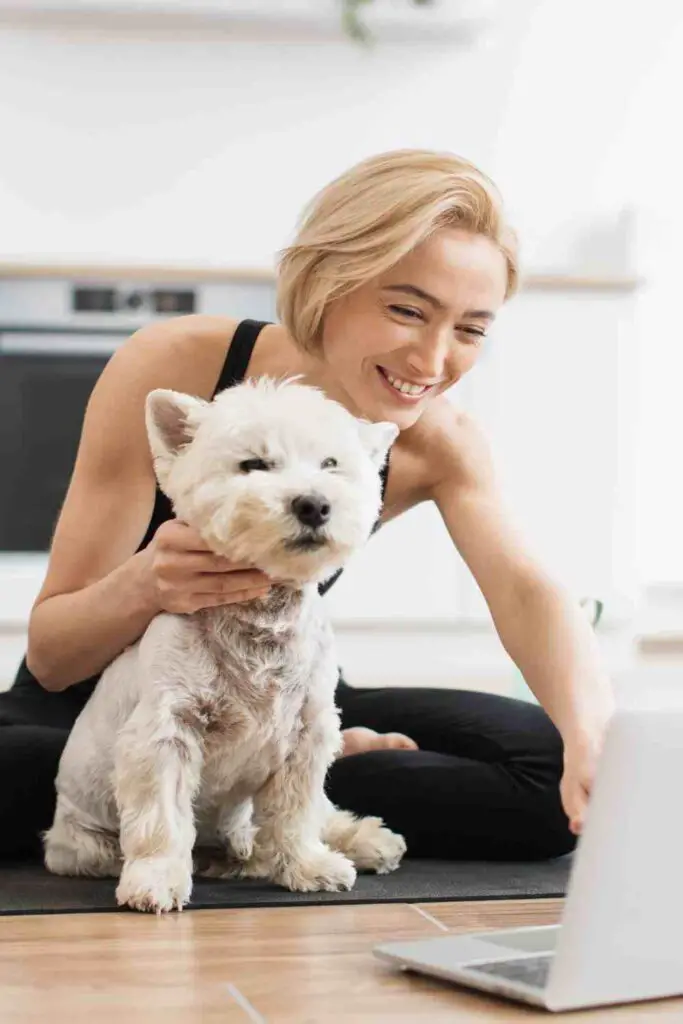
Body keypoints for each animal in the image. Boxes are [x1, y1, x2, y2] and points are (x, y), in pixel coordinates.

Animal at [45, 374, 409, 913]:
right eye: (253, 464)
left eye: (330, 464)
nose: (313, 504)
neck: (261, 620)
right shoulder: (167, 729)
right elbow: (162, 819)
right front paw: (156, 882)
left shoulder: (307, 731)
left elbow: (297, 812)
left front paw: (308, 867)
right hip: (81, 839)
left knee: (315, 816)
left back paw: (367, 842)